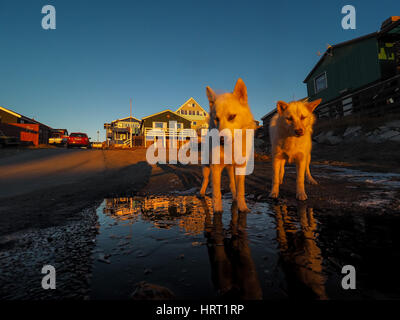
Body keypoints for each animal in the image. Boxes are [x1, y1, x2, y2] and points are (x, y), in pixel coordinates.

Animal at [200, 78, 256, 212]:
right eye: (217, 119)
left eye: (232, 117)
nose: (220, 140)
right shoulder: (215, 167)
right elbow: (216, 193)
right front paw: (217, 210)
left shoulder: (240, 167)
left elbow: (240, 190)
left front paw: (242, 207)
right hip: (206, 167)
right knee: (205, 180)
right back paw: (201, 193)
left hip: (231, 168)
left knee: (232, 184)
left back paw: (234, 198)